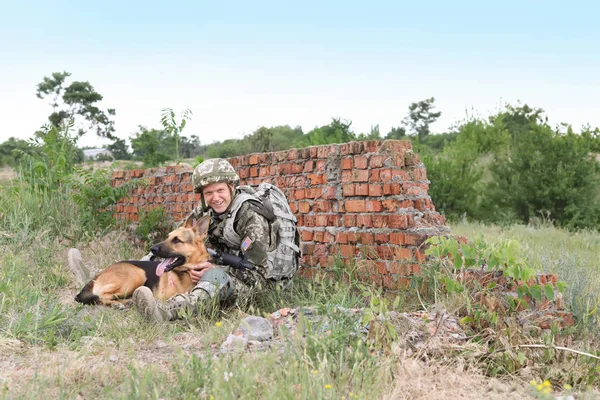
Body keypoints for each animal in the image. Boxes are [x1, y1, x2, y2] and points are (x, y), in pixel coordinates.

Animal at [75, 216, 211, 306]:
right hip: (137, 275)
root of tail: (99, 275)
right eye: (168, 237)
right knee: (102, 295)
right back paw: (117, 304)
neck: (186, 271)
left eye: (177, 240)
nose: (152, 249)